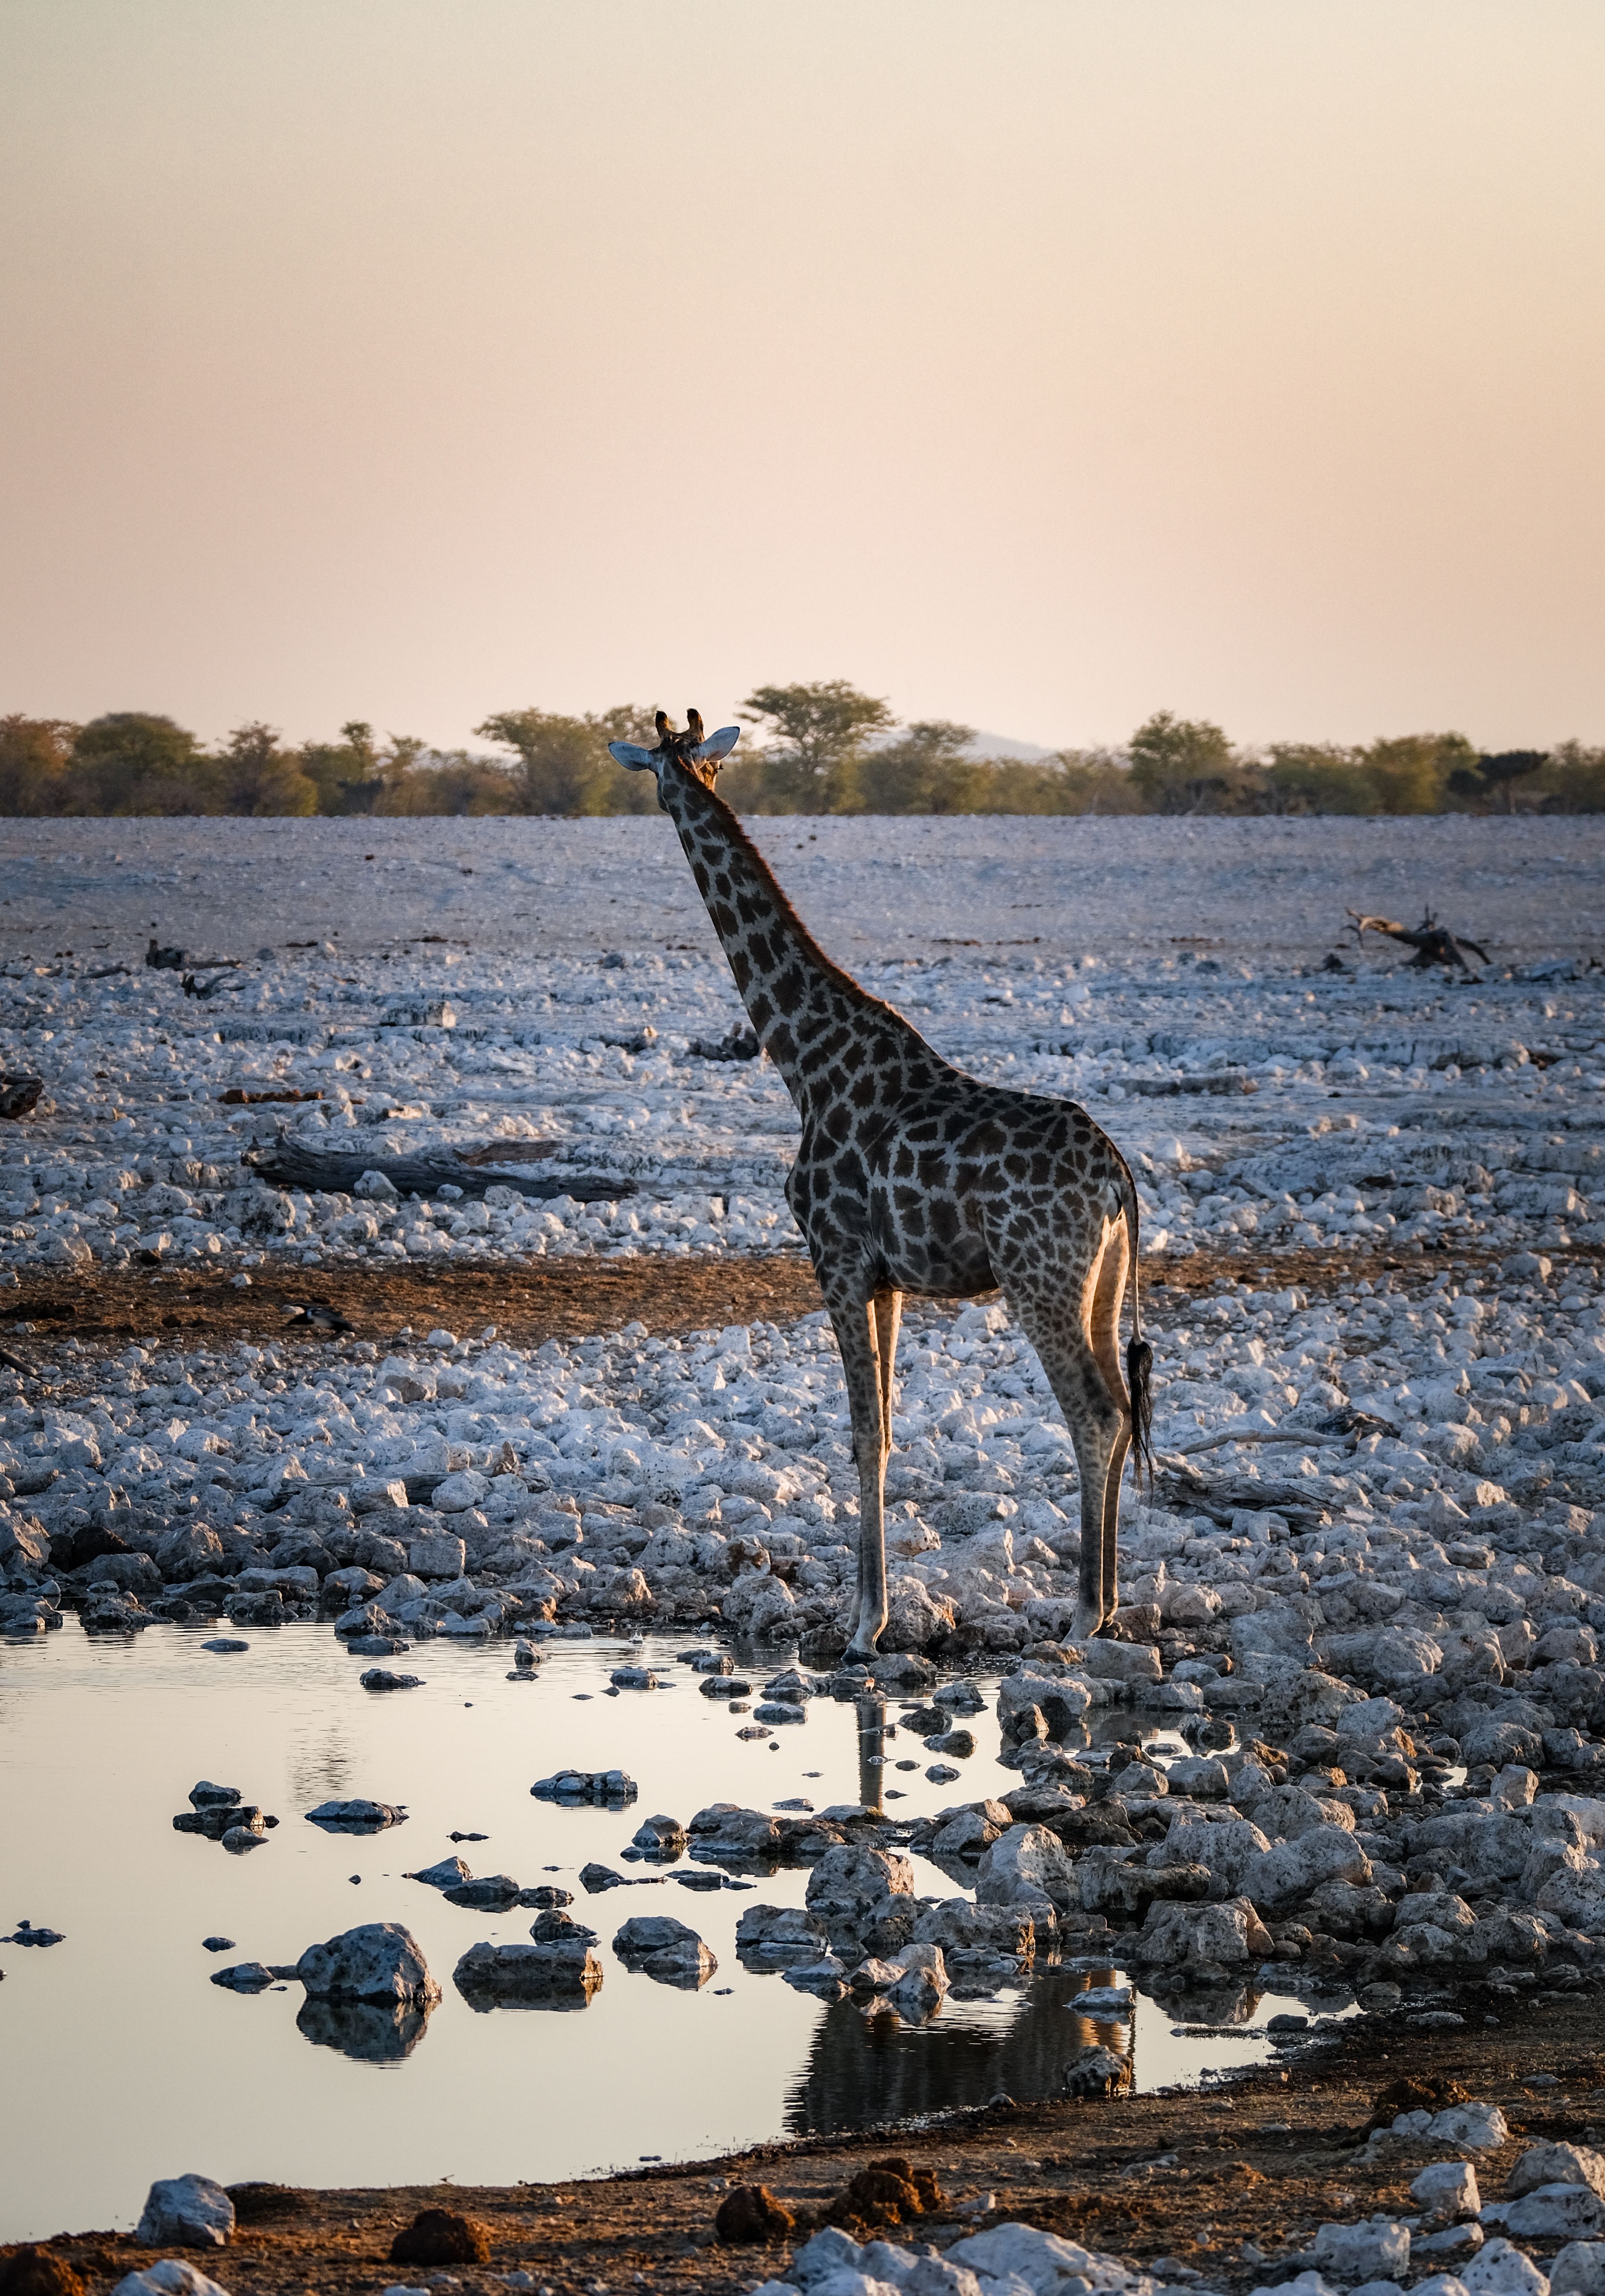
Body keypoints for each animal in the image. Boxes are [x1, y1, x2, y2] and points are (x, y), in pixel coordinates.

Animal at [609, 712, 1154, 1657]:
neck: (801, 1060)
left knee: (1094, 1412)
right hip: (1100, 1281)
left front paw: (864, 1622)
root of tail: (1117, 1176)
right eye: (698, 765)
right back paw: (1111, 1600)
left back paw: (1085, 1612)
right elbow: (890, 1430)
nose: (685, 790)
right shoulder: (887, 1276)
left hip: (1038, 1279)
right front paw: (873, 1610)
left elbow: (864, 1434)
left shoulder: (834, 1255)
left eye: (671, 771)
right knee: (1122, 1404)